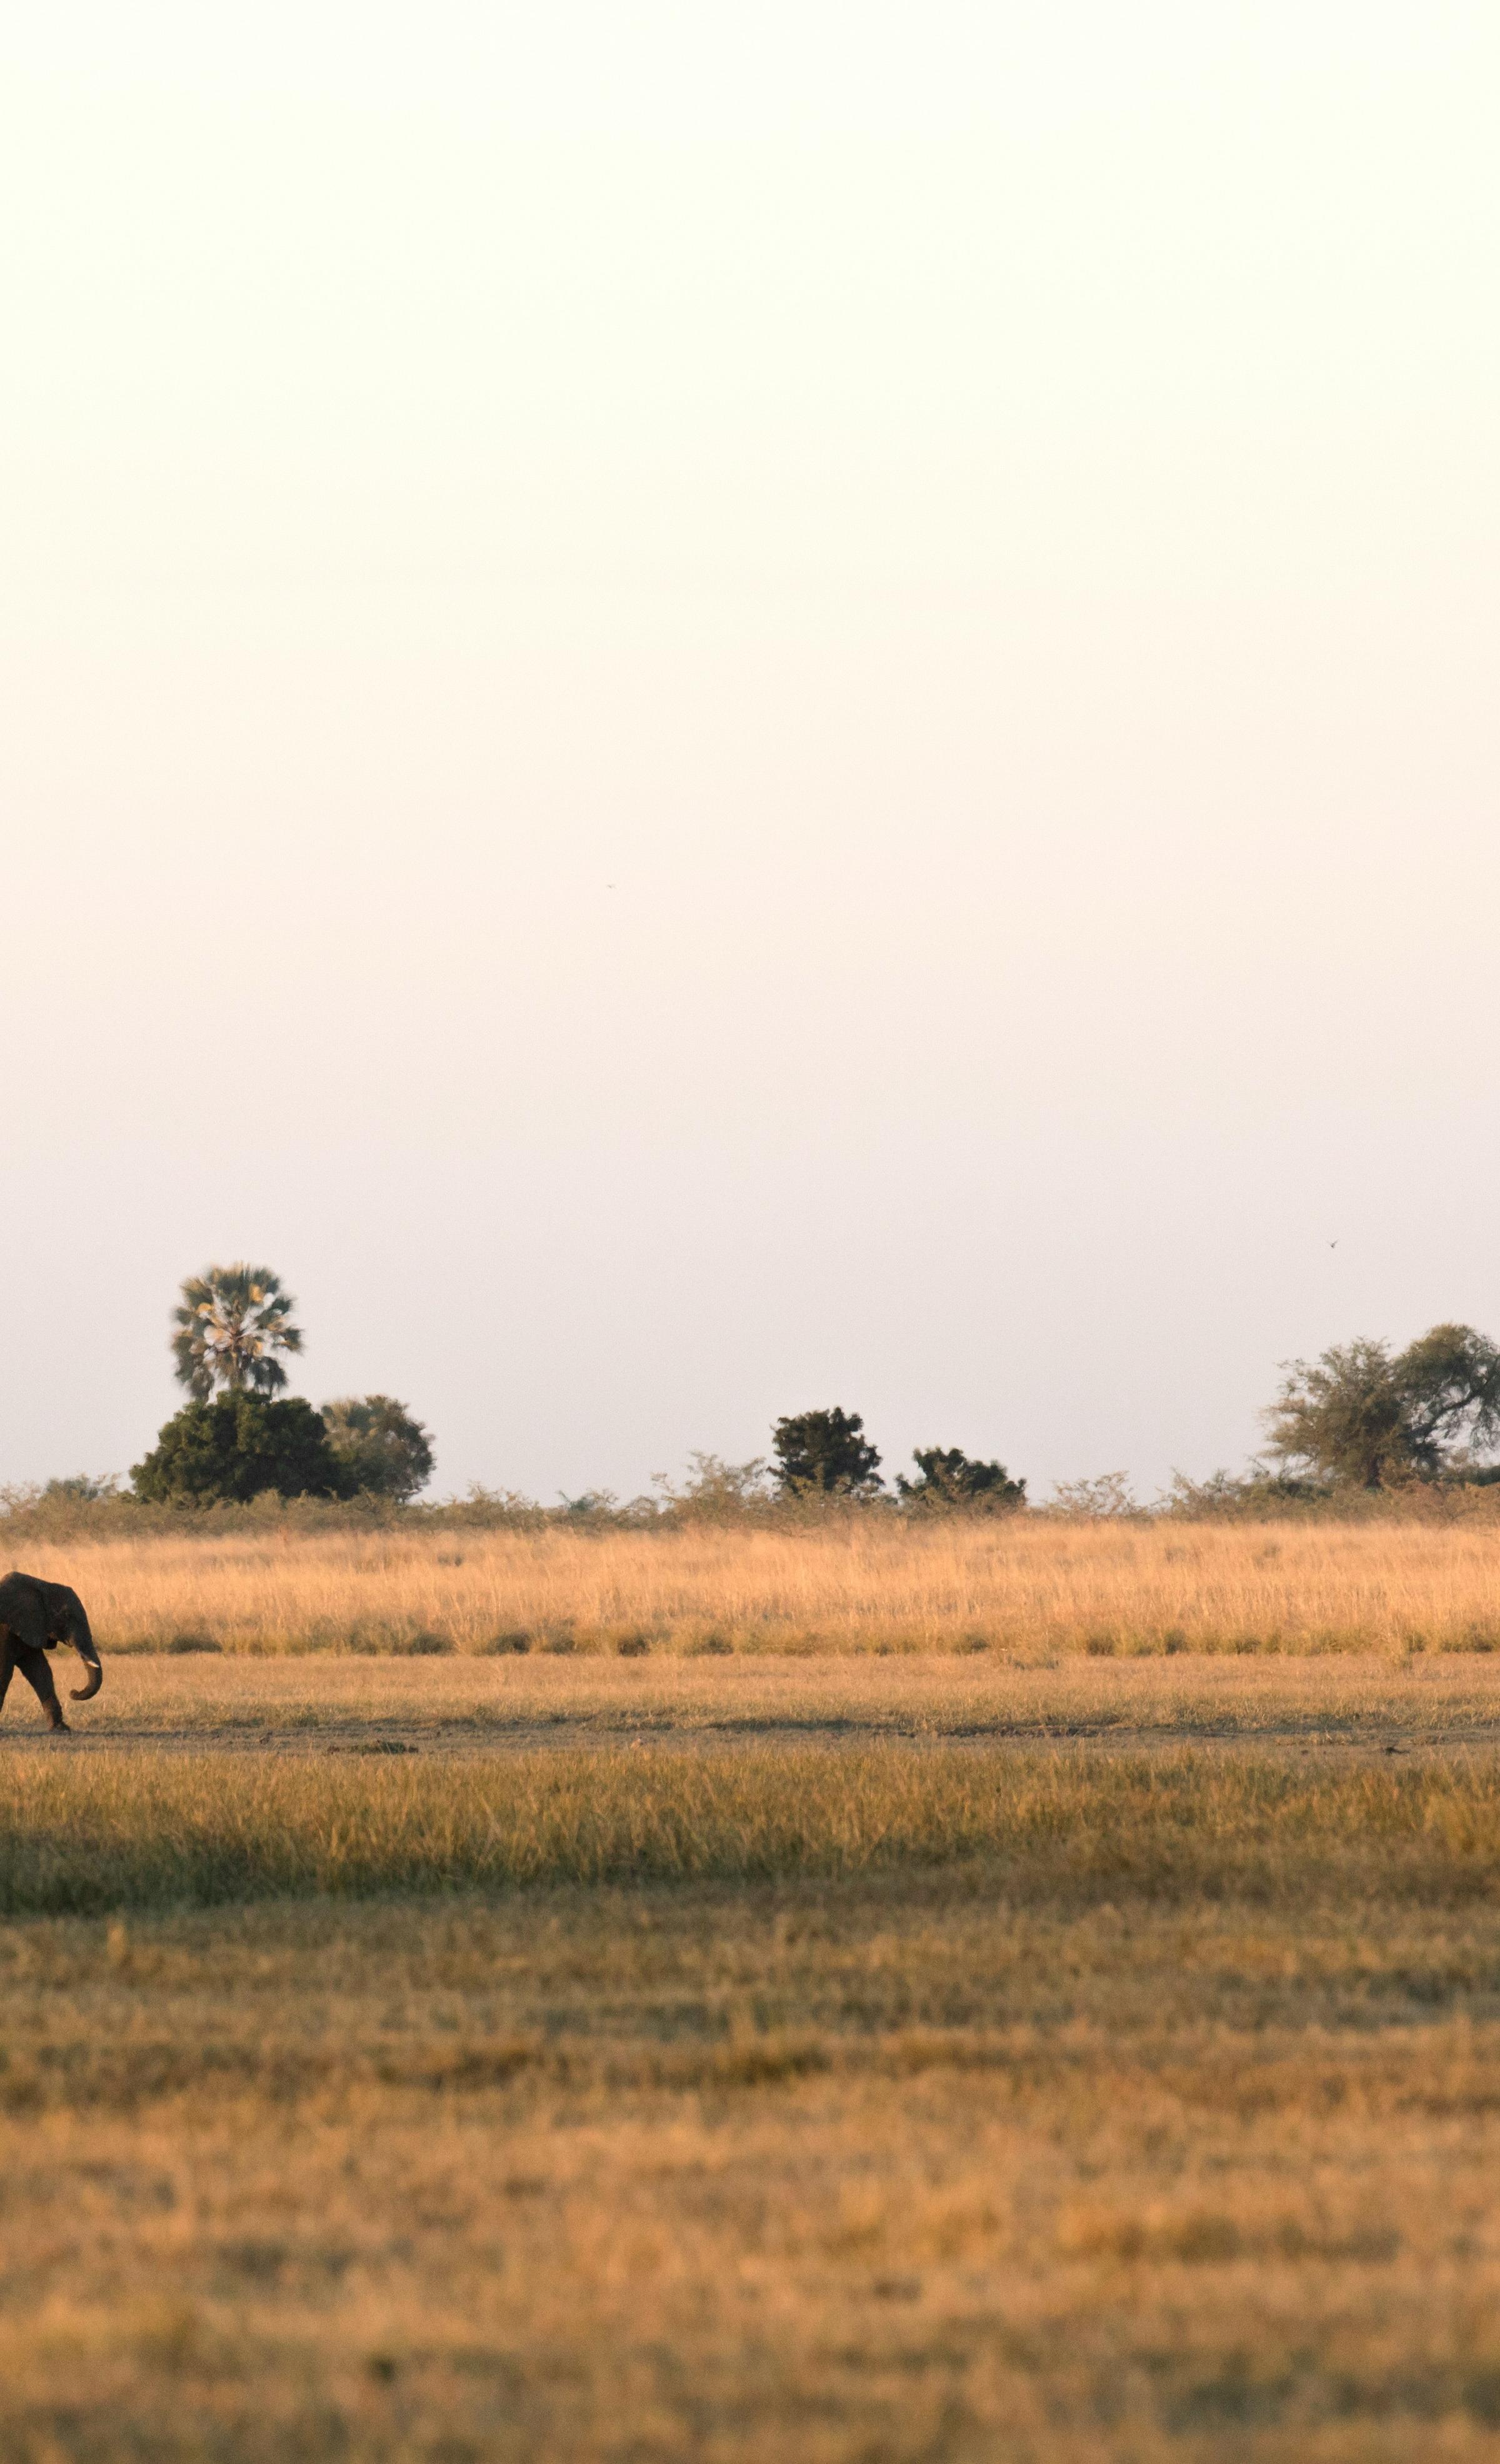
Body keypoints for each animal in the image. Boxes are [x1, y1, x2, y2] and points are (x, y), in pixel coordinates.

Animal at [0, 1572, 103, 1733]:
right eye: (66, 1616)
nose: (73, 1692)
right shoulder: (5, 1632)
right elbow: (4, 1671)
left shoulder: (32, 1627)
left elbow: (40, 1671)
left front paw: (61, 1729)